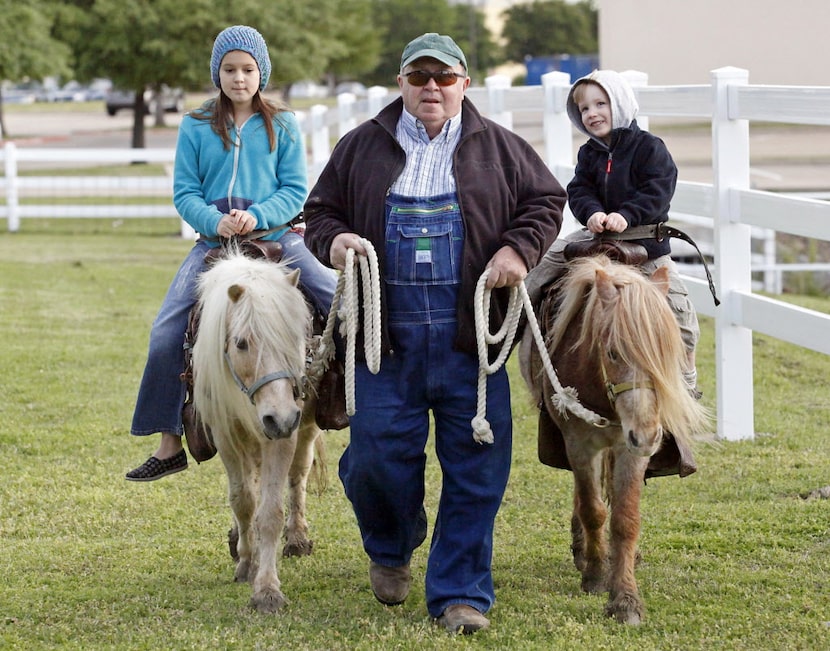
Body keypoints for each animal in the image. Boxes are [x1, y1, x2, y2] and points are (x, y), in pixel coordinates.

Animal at [194, 252, 324, 612]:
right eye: (241, 343)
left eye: (296, 339)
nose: (279, 417)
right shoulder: (225, 435)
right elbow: (243, 501)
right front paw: (245, 564)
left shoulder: (283, 434)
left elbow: (270, 511)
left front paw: (266, 589)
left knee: (298, 474)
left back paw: (297, 538)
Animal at [524, 255, 712, 628]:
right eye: (612, 352)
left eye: (668, 353)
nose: (647, 436)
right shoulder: (580, 443)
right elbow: (593, 509)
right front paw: (596, 576)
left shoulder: (629, 450)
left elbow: (625, 518)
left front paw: (625, 598)